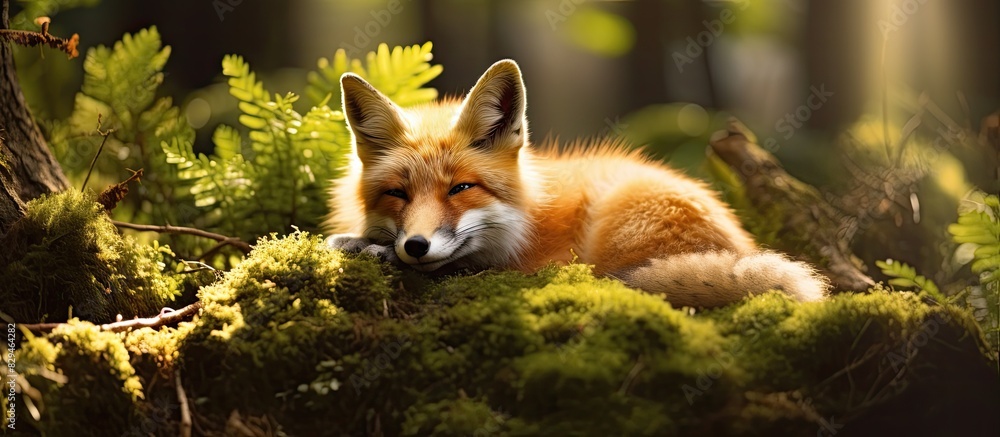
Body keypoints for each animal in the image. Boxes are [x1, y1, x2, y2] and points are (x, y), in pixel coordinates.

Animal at [324, 59, 829, 307]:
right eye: (397, 194)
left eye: (461, 189)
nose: (416, 246)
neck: (527, 221)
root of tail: (741, 243)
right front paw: (364, 242)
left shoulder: (529, 264)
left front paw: (373, 249)